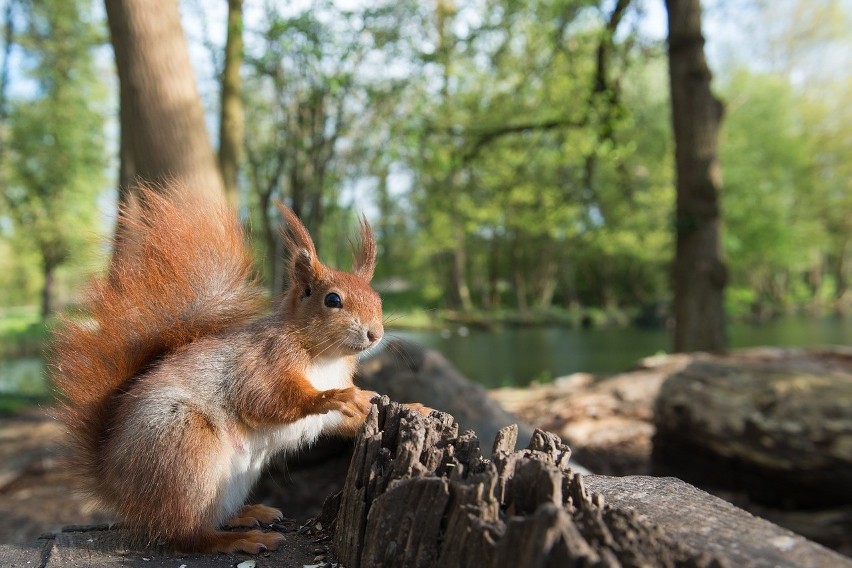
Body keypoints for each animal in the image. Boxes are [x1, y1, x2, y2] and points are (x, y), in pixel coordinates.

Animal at [51, 187, 398, 556]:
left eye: (378, 299)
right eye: (332, 300)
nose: (376, 334)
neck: (326, 358)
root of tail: (115, 485)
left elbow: (341, 421)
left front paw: (400, 405)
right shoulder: (262, 361)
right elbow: (265, 399)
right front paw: (334, 395)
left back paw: (247, 515)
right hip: (185, 449)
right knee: (187, 534)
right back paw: (240, 540)